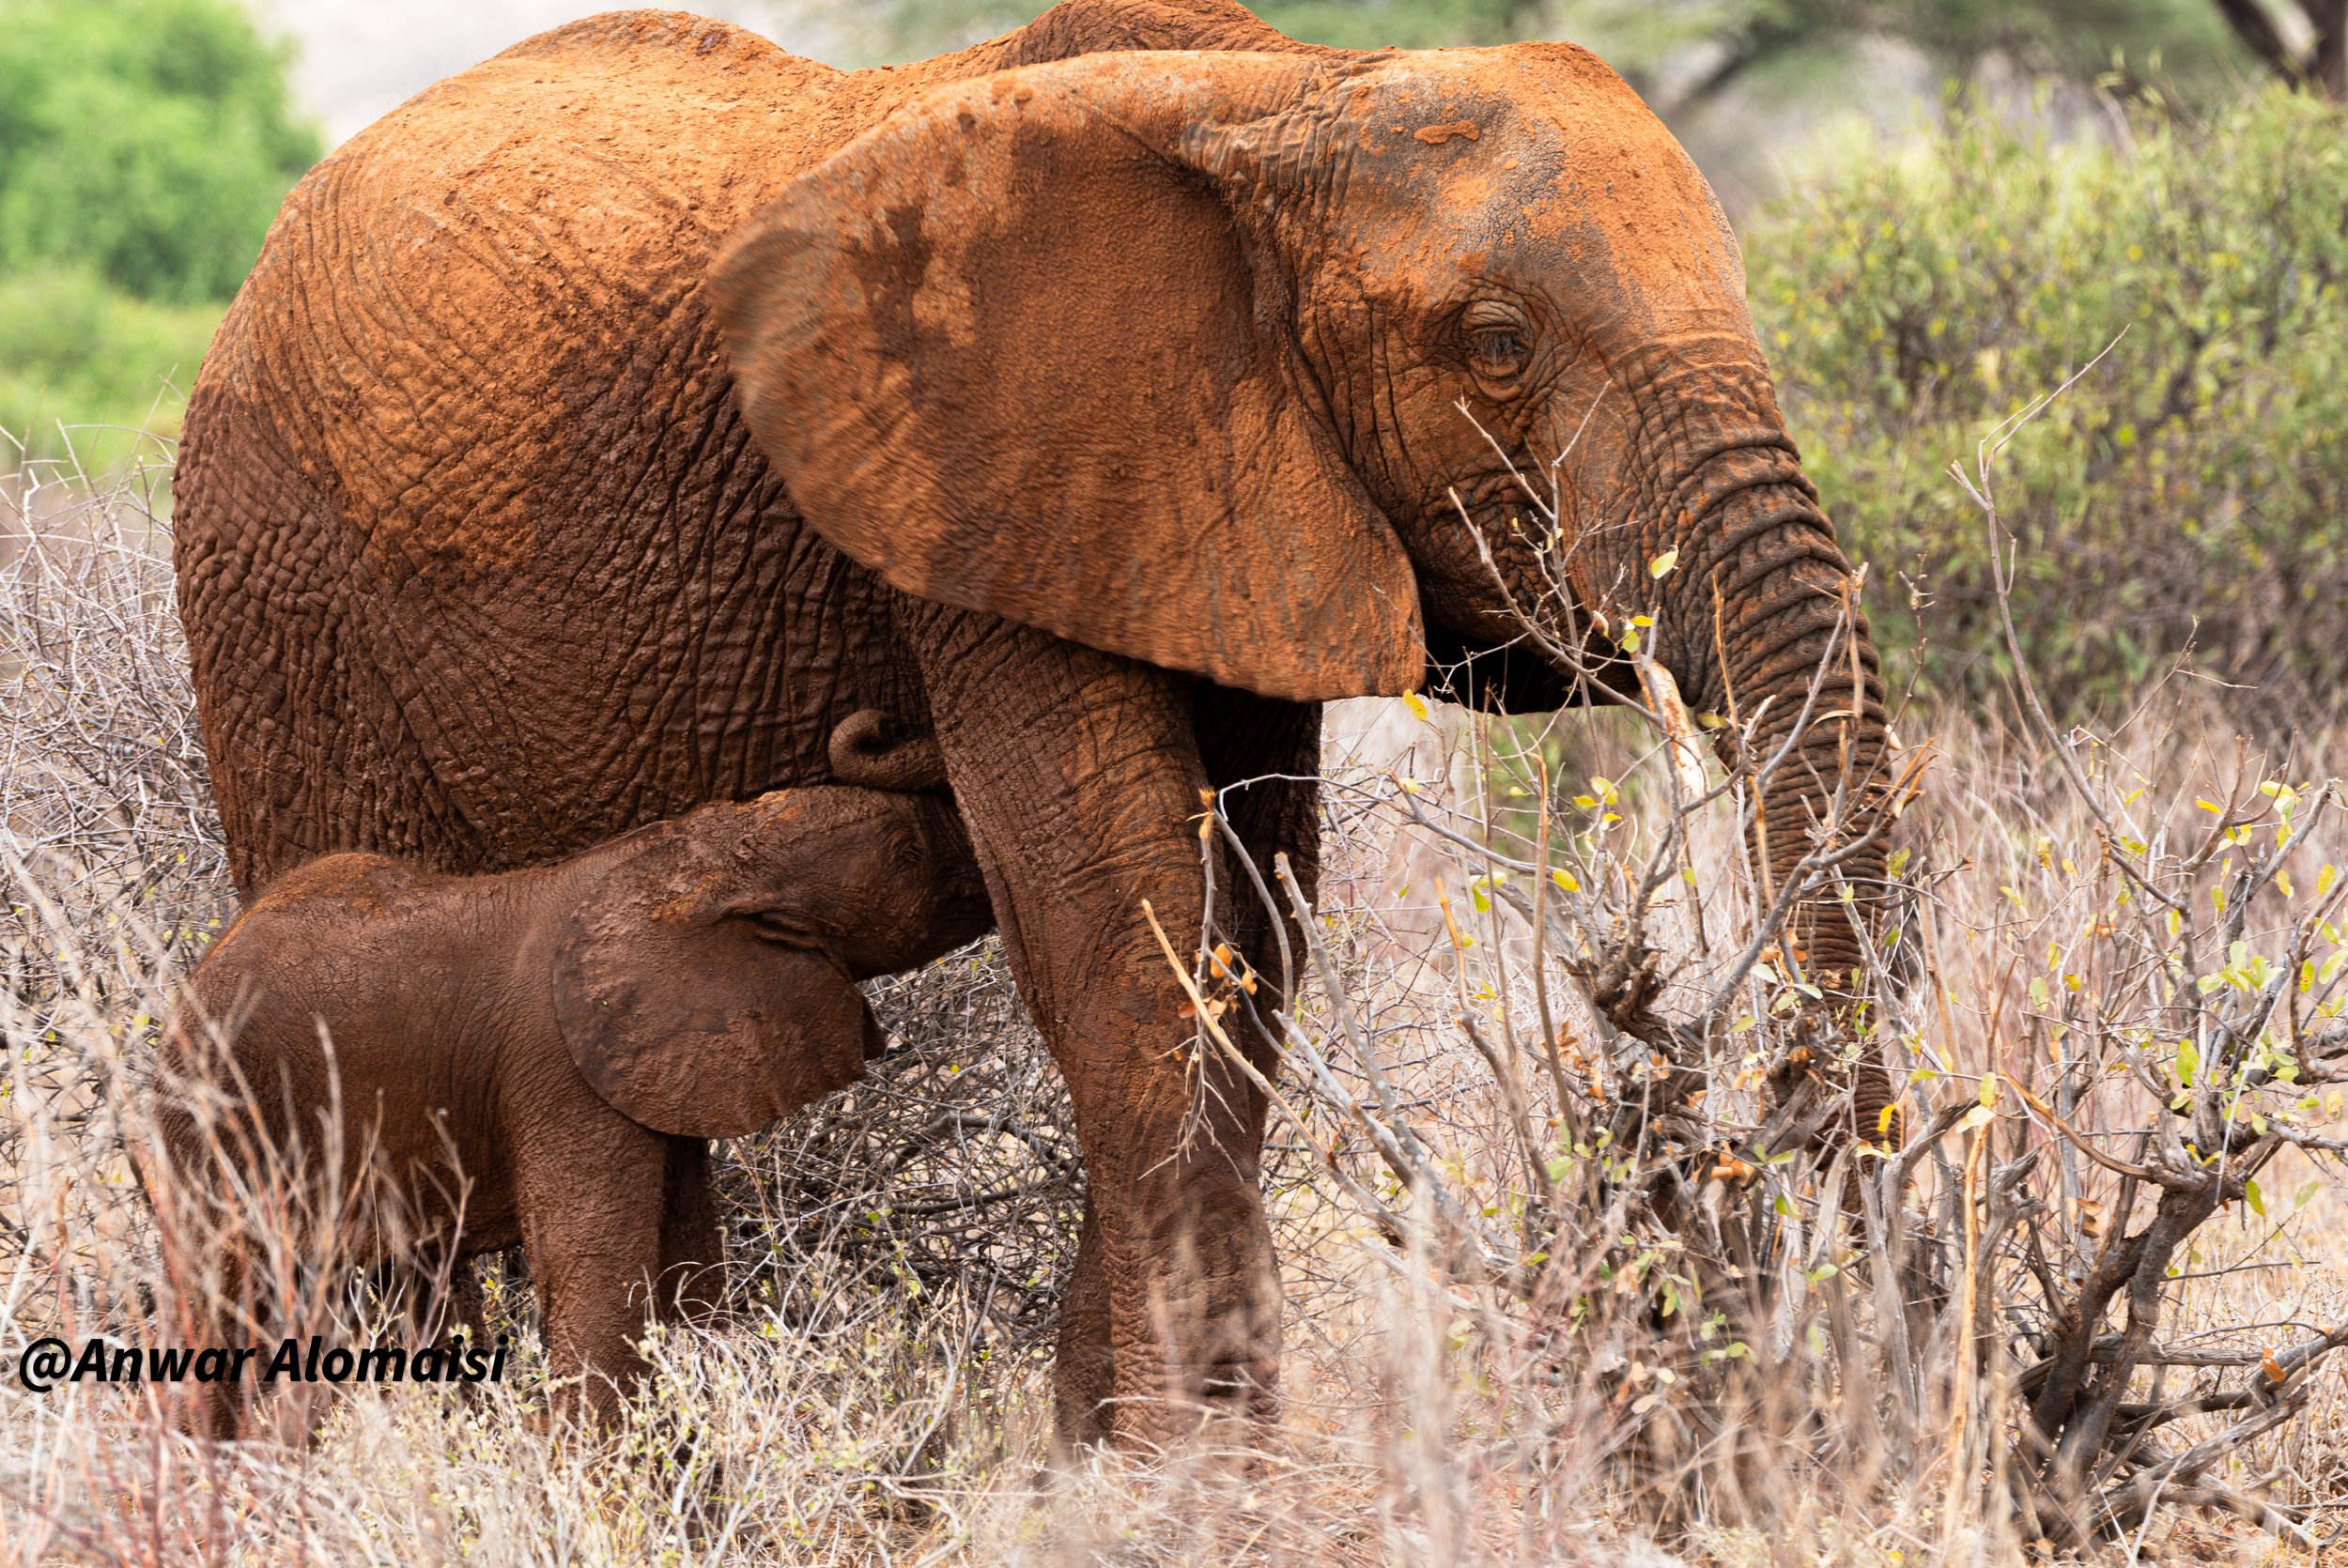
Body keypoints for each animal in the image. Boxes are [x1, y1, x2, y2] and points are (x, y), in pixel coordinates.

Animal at [151, 782, 990, 1435]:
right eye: (906, 851)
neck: (698, 857)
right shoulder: (562, 1069)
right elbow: (597, 1281)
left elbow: (687, 1269)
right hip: (211, 1123)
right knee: (223, 1306)